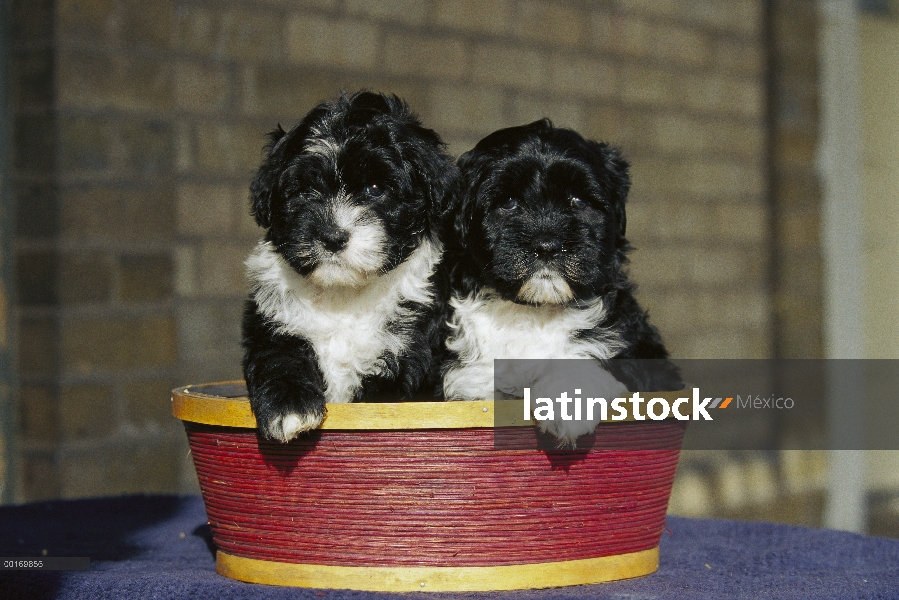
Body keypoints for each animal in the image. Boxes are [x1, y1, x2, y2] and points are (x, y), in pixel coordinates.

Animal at [241, 91, 458, 442]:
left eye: (375, 189)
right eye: (305, 191)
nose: (331, 236)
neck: (342, 294)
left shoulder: (407, 353)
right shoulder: (271, 322)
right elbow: (277, 357)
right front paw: (289, 408)